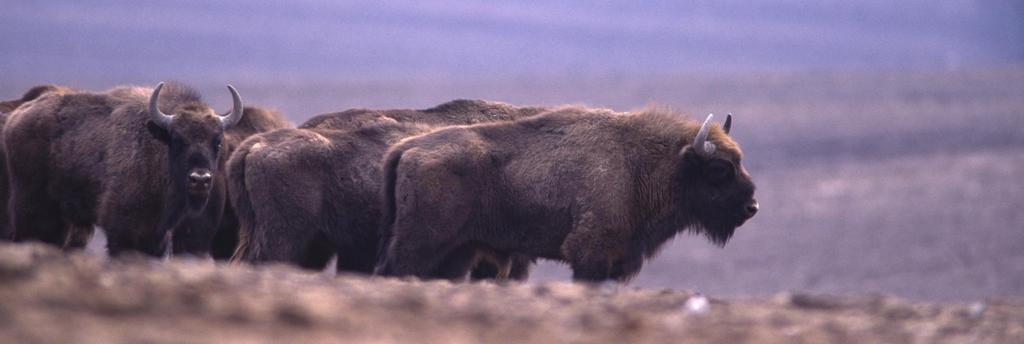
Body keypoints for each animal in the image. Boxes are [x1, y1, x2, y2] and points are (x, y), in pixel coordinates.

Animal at [5, 82, 247, 254]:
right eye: (178, 140)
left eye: (217, 142)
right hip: (32, 210)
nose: (200, 179)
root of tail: (17, 118)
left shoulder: (156, 237)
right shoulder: (122, 232)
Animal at [378, 108, 761, 282]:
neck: (638, 164)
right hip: (422, 244)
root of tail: (407, 147)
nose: (752, 206)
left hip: (458, 251)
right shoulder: (590, 255)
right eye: (720, 169)